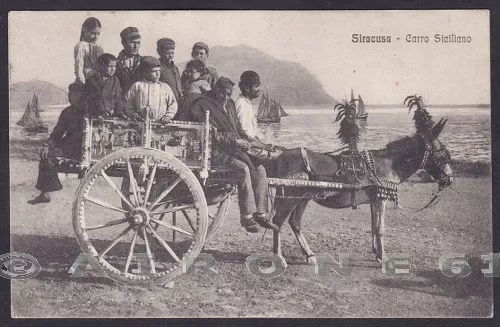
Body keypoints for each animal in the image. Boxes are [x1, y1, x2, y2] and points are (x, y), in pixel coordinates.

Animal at [266, 116, 454, 268]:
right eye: (442, 153)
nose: (449, 179)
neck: (388, 163)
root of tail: (280, 157)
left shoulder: (375, 200)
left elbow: (373, 226)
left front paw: (377, 253)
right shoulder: (380, 200)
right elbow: (380, 228)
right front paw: (384, 258)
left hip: (303, 197)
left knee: (295, 222)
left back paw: (309, 254)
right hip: (289, 197)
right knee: (278, 222)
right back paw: (279, 257)